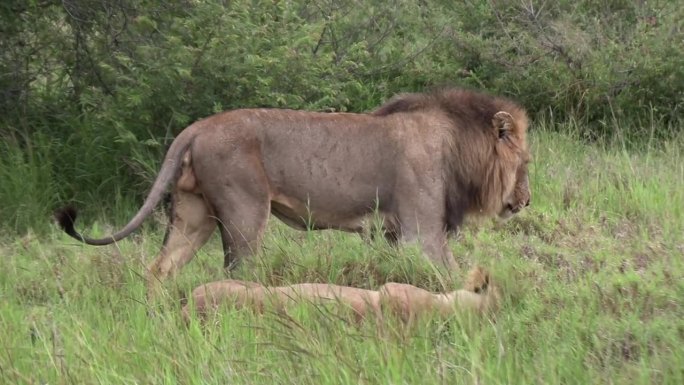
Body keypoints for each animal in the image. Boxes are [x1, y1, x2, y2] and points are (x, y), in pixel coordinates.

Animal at [56, 87, 532, 296]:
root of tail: (195, 128)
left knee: (161, 268)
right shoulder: (422, 232)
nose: (526, 201)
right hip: (245, 213)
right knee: (238, 270)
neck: (458, 146)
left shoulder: (396, 234)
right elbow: (448, 273)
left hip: (194, 216)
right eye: (526, 163)